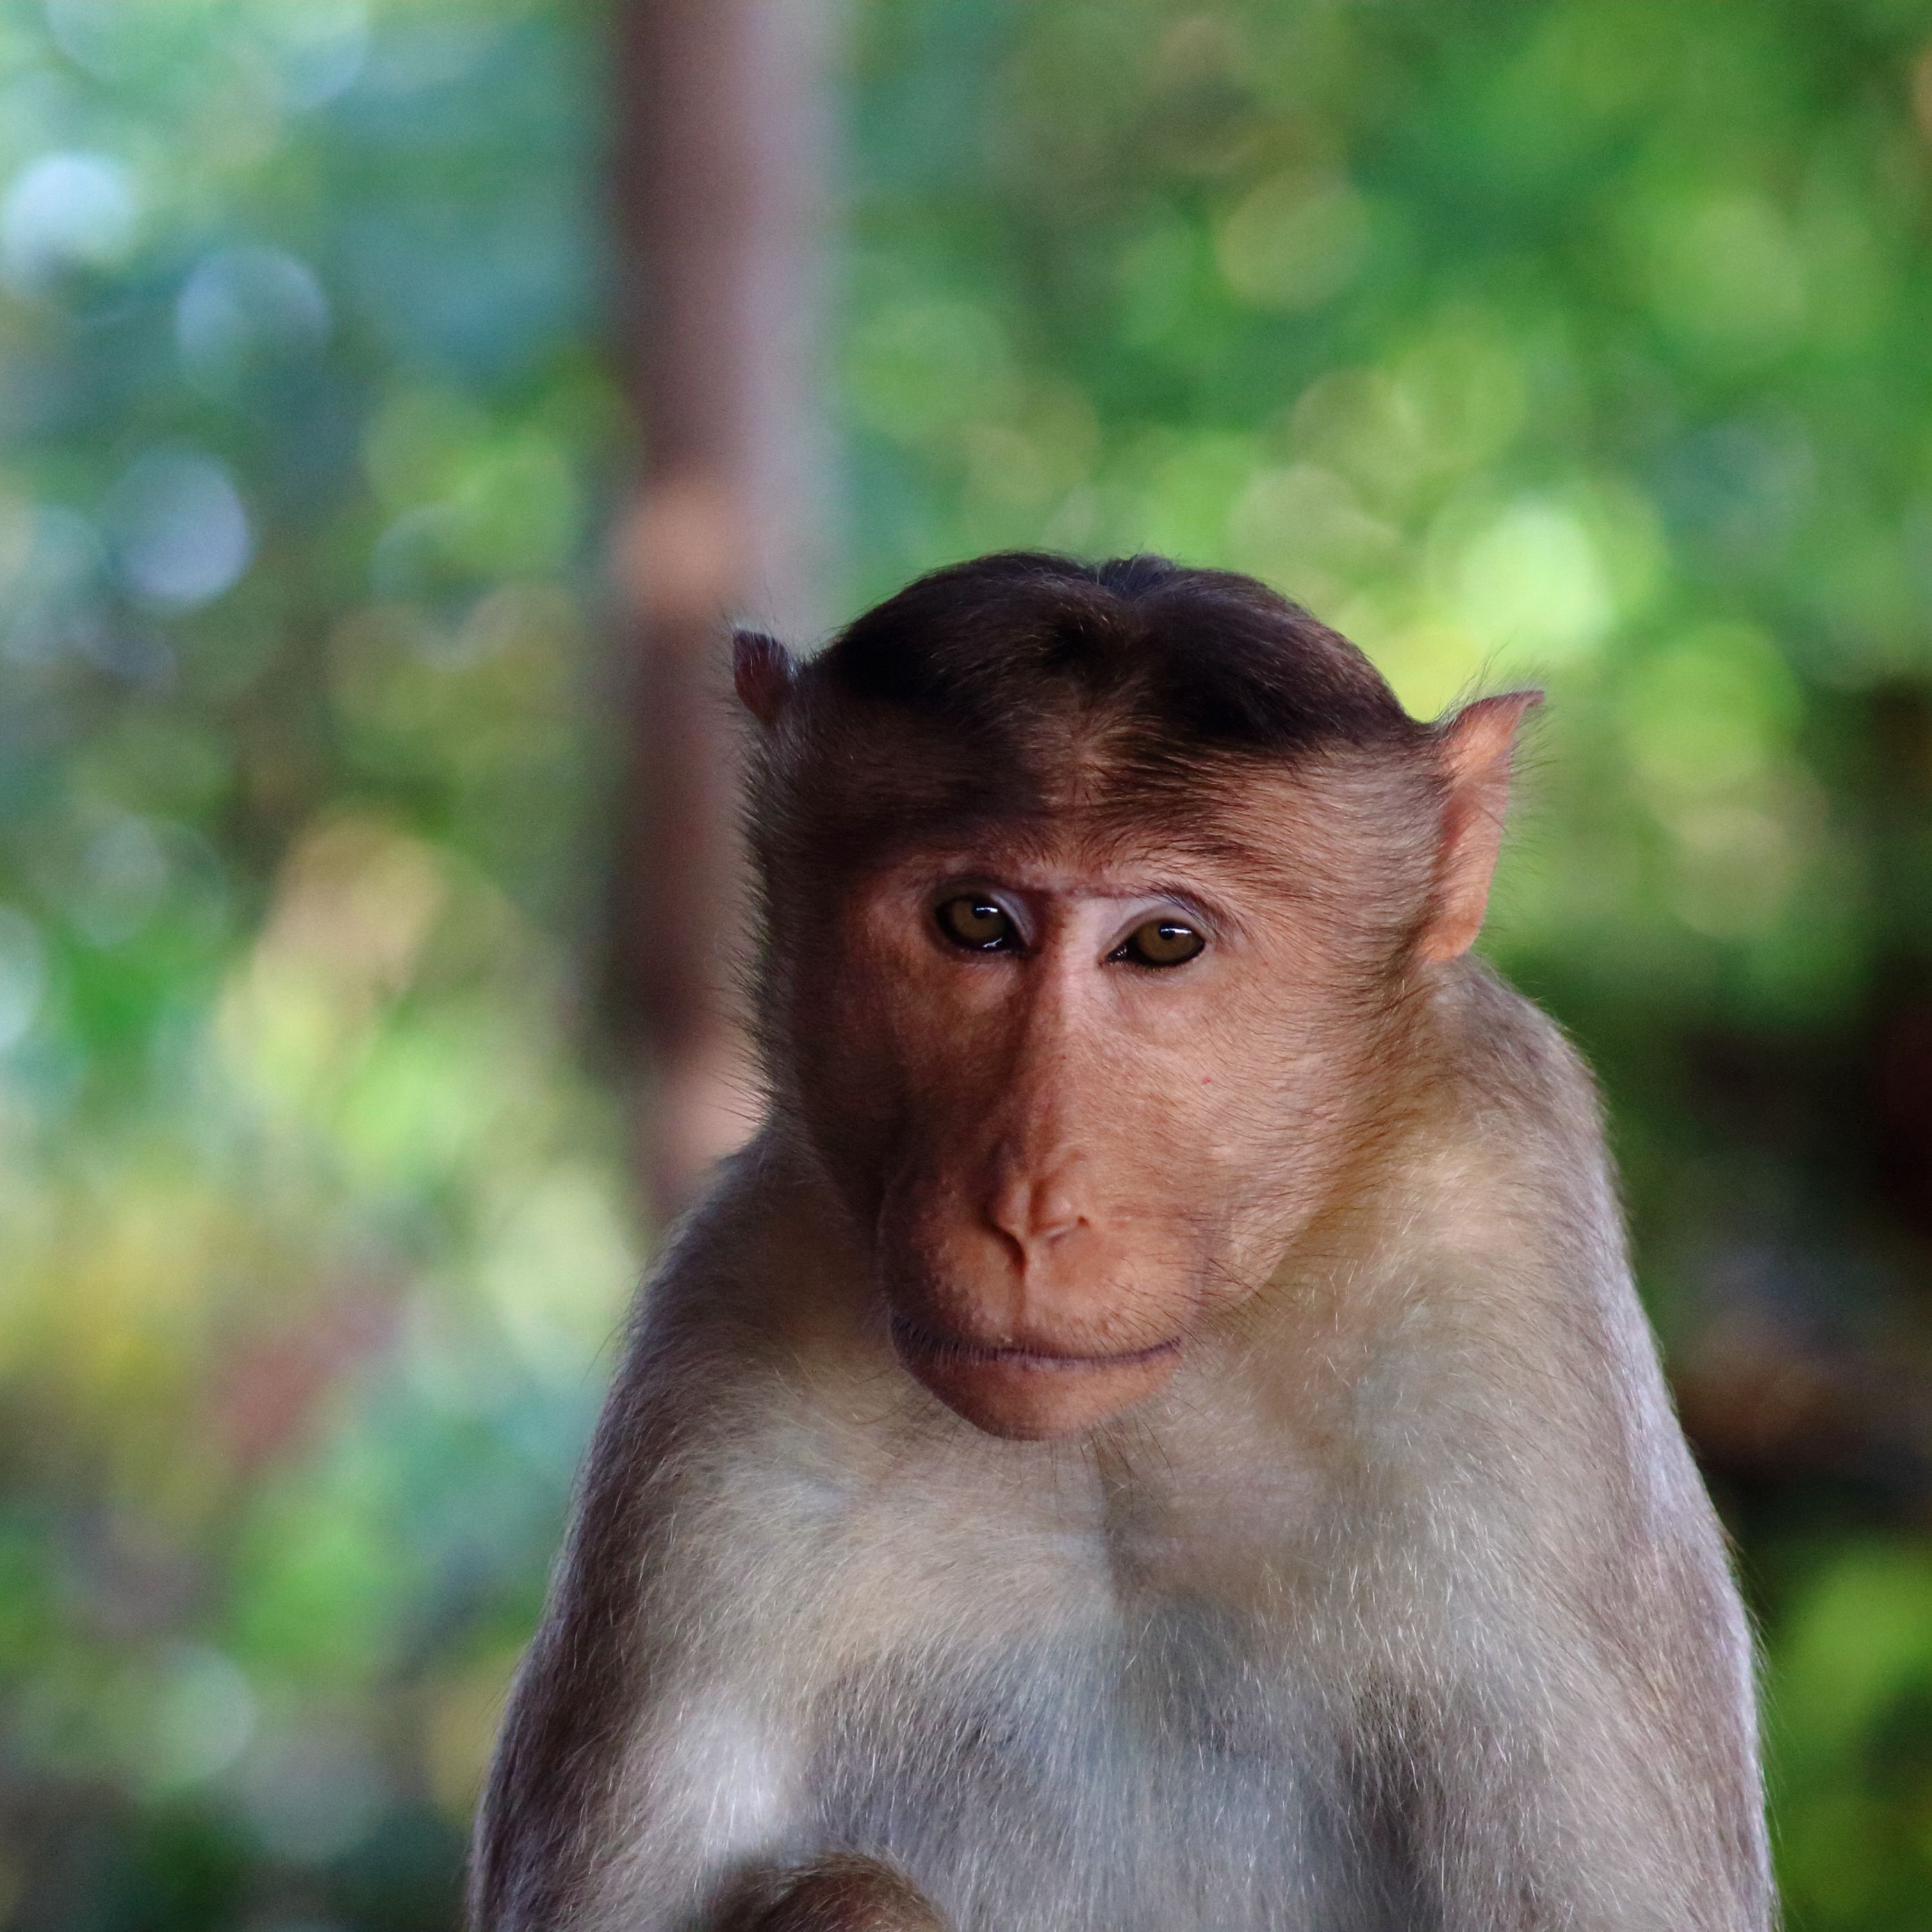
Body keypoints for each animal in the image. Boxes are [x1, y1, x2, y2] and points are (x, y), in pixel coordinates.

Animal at [467, 552, 1769, 1924]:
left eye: (1162, 941)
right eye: (976, 921)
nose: (1029, 1206)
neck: (1122, 1441)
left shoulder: (1502, 1256)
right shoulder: (727, 1345)